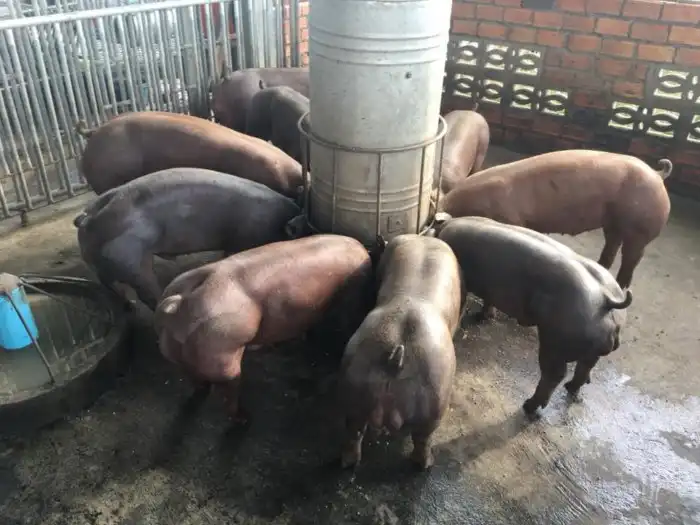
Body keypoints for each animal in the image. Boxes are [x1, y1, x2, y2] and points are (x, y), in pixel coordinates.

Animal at [74, 168, 302, 310]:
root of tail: (87, 219)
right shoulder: (245, 237)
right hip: (133, 260)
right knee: (146, 293)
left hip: (100, 262)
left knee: (110, 286)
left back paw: (128, 306)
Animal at [154, 234, 375, 424]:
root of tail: (178, 302)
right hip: (224, 353)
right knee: (229, 390)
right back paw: (245, 418)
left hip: (171, 347)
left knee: (193, 376)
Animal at [337, 234, 462, 470]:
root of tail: (397, 356)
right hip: (434, 403)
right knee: (422, 440)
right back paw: (426, 465)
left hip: (355, 390)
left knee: (353, 433)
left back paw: (349, 463)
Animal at [433, 215, 632, 416]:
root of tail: (606, 299)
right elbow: (489, 301)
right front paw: (482, 317)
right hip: (588, 348)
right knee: (584, 368)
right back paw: (570, 389)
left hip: (556, 342)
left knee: (554, 374)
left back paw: (529, 408)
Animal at [439, 150, 673, 289]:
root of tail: (657, 174)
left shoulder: (511, 219)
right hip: (613, 223)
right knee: (612, 246)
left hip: (641, 228)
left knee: (631, 258)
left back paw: (622, 285)